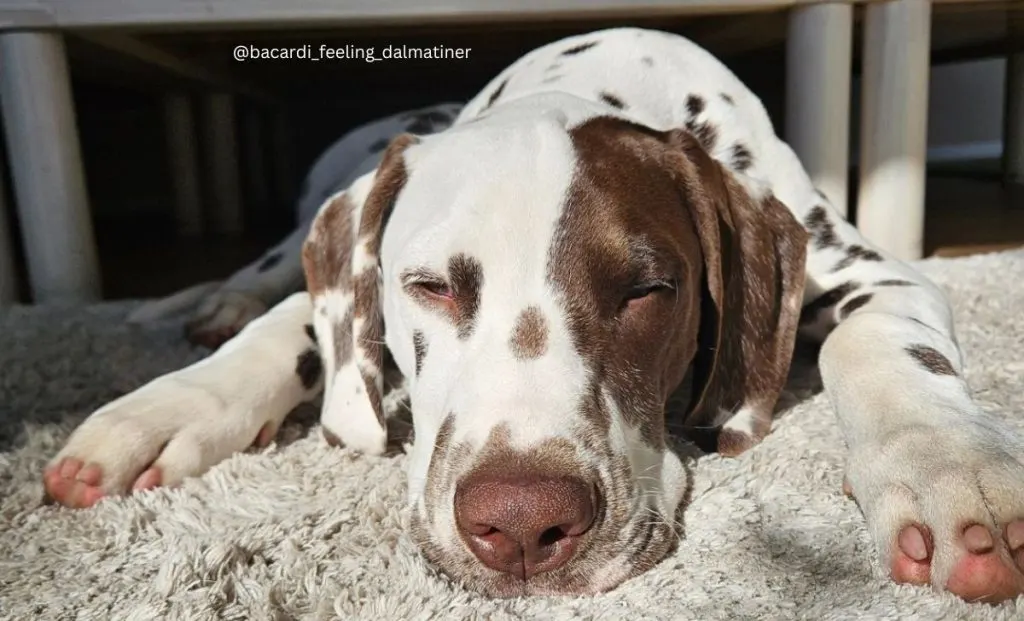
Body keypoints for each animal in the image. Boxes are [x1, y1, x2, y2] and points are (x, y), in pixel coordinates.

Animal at [39, 27, 1024, 602]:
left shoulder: (877, 275)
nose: (520, 524)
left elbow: (884, 346)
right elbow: (294, 329)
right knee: (267, 274)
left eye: (647, 289)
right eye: (429, 285)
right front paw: (162, 408)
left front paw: (952, 472)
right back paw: (208, 308)